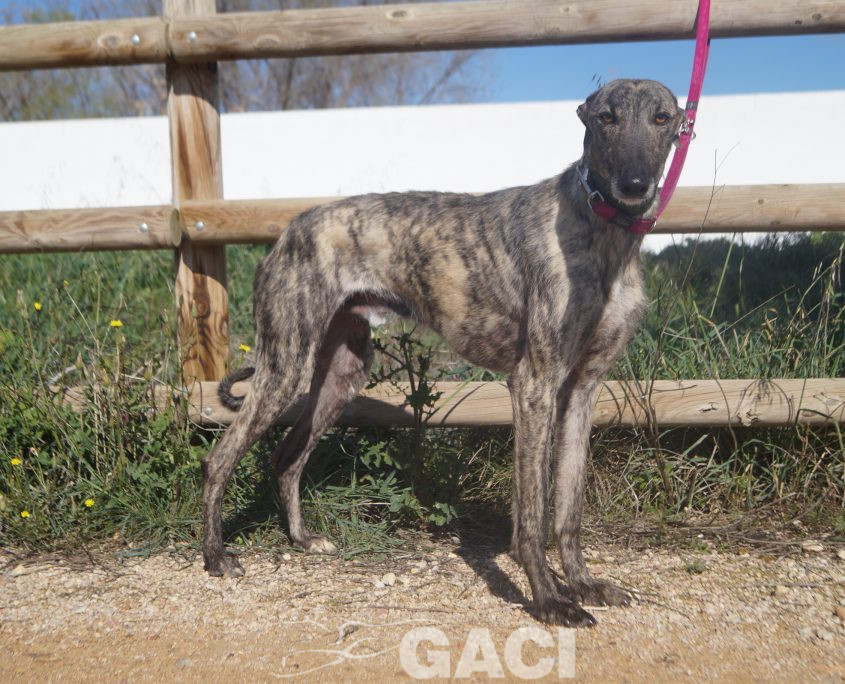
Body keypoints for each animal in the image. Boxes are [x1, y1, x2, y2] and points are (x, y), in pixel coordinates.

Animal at [201, 79, 686, 627]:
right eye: (606, 118)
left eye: (662, 118)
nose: (634, 185)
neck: (600, 229)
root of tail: (289, 230)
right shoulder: (534, 384)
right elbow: (533, 517)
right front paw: (548, 599)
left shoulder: (582, 389)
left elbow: (568, 509)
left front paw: (583, 584)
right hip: (285, 365)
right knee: (219, 459)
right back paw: (216, 555)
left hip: (342, 373)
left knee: (286, 456)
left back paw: (303, 539)